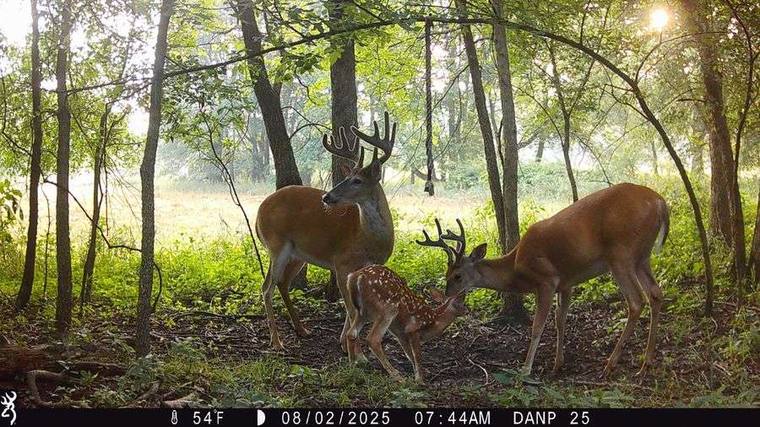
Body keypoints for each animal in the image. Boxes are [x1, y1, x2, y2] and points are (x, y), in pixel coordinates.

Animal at [255, 112, 396, 351]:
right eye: (347, 178)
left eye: (357, 180)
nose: (327, 196)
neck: (367, 239)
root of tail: (258, 212)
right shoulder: (341, 263)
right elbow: (351, 310)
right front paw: (349, 346)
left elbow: (354, 310)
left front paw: (343, 340)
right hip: (277, 245)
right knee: (267, 288)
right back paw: (277, 341)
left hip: (298, 254)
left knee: (282, 283)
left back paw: (301, 329)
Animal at [417, 183, 669, 378]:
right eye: (446, 274)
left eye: (457, 276)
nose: (446, 295)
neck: (516, 267)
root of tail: (660, 202)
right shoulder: (566, 283)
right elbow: (560, 320)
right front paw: (558, 364)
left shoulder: (547, 280)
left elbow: (538, 326)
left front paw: (525, 369)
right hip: (642, 256)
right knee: (656, 294)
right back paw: (646, 363)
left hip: (620, 254)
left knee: (636, 301)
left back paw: (610, 364)